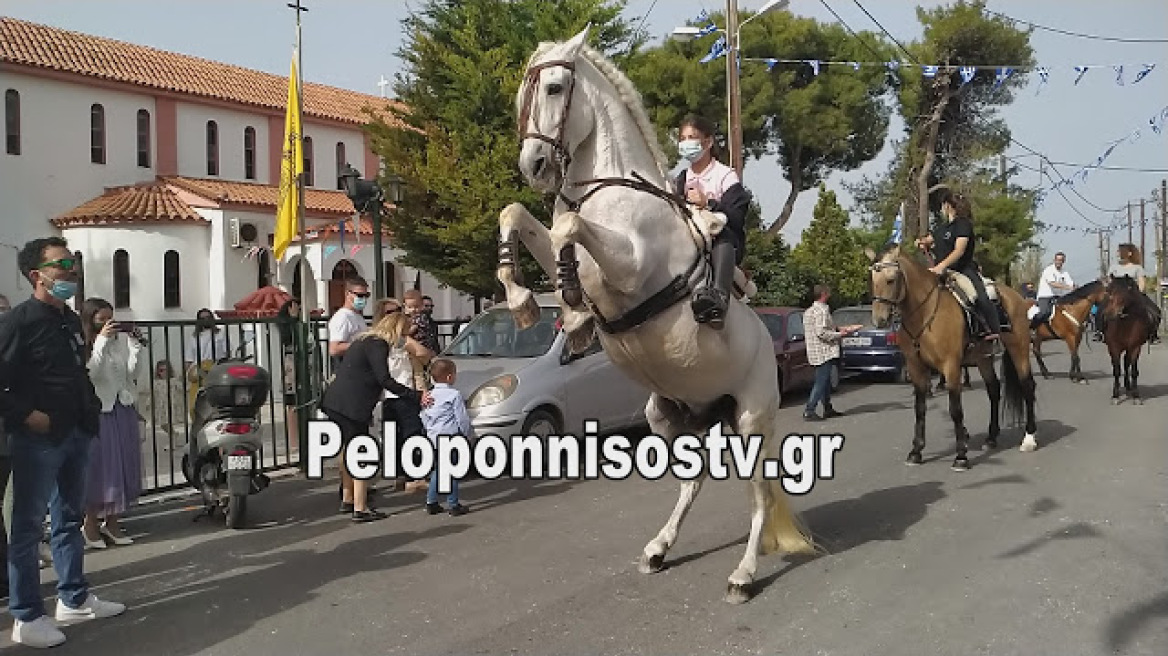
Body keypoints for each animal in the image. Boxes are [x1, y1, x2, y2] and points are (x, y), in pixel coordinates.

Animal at [499, 29, 822, 602]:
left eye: (556, 87)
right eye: (523, 94)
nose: (534, 166)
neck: (609, 188)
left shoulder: (629, 268)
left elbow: (568, 229)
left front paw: (569, 309)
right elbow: (521, 218)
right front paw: (531, 302)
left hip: (750, 417)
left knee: (760, 492)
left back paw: (743, 575)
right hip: (668, 417)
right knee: (694, 479)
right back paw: (658, 548)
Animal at [864, 242, 1037, 466]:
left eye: (891, 279)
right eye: (871, 280)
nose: (879, 320)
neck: (924, 314)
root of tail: (1016, 296)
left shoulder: (951, 366)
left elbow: (955, 410)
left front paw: (961, 455)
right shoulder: (916, 368)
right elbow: (920, 409)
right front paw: (916, 451)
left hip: (1019, 349)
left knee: (1027, 386)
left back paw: (1029, 439)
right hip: (983, 359)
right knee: (994, 390)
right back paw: (991, 438)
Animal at [1097, 275, 1153, 403]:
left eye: (1124, 293)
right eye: (1108, 291)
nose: (1108, 314)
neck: (1126, 322)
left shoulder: (1135, 347)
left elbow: (1133, 371)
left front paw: (1136, 395)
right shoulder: (1114, 348)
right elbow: (1117, 370)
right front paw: (1115, 395)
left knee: (1127, 364)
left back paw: (1128, 387)